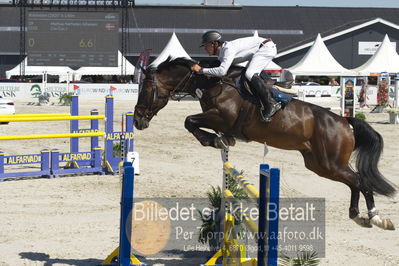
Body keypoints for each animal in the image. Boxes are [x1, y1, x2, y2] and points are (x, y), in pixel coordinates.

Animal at [134, 57, 396, 230]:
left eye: (145, 90)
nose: (137, 120)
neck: (213, 84)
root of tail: (344, 120)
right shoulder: (217, 119)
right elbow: (195, 124)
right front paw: (220, 140)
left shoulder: (221, 117)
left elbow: (189, 121)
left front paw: (213, 140)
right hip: (319, 165)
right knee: (354, 182)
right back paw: (359, 216)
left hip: (330, 163)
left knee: (359, 180)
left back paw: (375, 217)